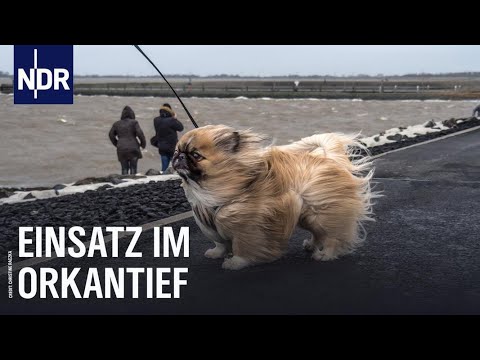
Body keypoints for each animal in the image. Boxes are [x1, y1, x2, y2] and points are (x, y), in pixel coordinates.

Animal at [172, 125, 376, 268]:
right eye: (176, 151)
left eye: (196, 155)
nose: (179, 157)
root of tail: (330, 159)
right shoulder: (210, 223)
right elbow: (220, 242)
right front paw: (216, 253)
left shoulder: (247, 226)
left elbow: (242, 246)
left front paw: (236, 263)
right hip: (307, 216)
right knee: (318, 233)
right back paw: (311, 245)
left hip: (321, 215)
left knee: (332, 236)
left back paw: (325, 255)